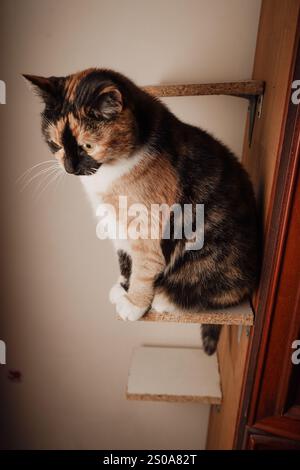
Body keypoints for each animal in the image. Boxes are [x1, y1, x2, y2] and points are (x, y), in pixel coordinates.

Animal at [24, 69, 258, 352]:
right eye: (56, 143)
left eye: (88, 146)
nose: (69, 167)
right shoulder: (114, 223)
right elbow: (125, 257)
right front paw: (123, 288)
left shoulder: (147, 222)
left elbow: (145, 264)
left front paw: (134, 304)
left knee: (222, 293)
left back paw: (165, 299)